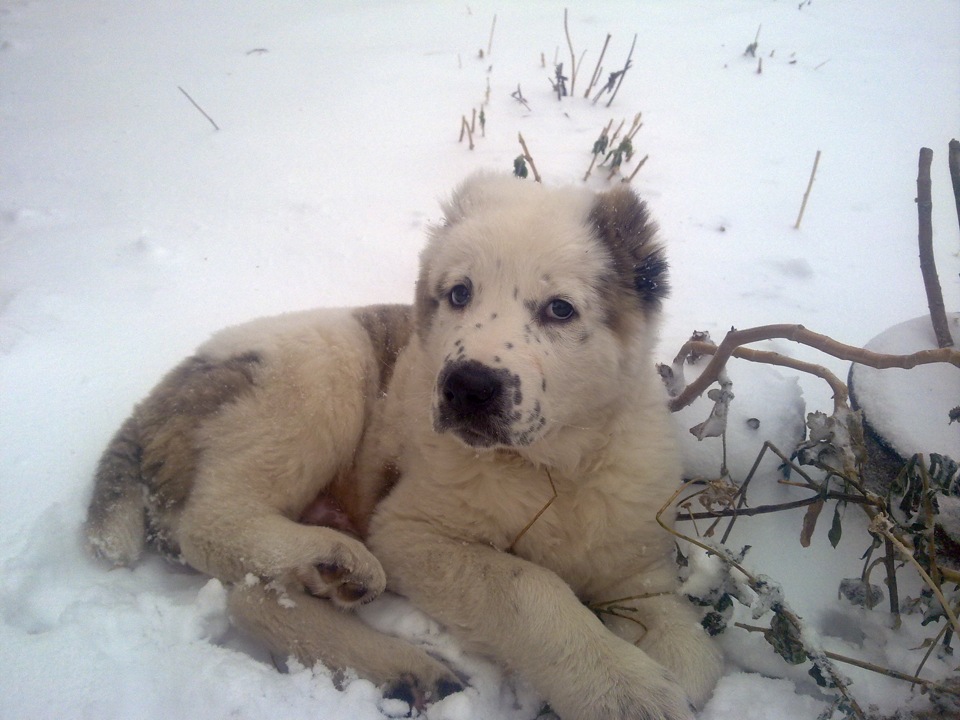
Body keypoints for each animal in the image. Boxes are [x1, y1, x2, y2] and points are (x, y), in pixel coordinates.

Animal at [86, 174, 720, 720]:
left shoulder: (637, 558)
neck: (550, 467)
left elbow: (686, 643)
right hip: (320, 370)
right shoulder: (411, 531)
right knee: (212, 523)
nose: (467, 386)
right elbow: (529, 588)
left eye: (559, 309)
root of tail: (156, 398)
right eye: (459, 294)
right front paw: (623, 690)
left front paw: (659, 675)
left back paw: (395, 659)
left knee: (253, 596)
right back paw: (337, 562)